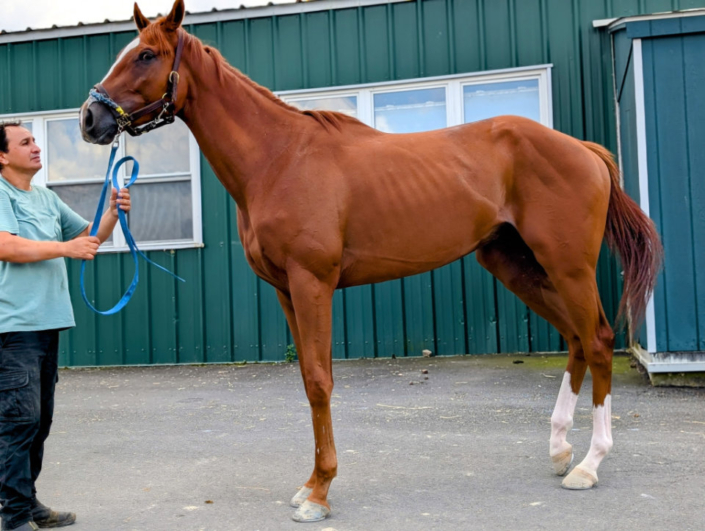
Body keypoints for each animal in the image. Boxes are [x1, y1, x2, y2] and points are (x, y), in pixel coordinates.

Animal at [79, 0, 663, 522]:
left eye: (147, 55)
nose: (90, 118)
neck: (278, 158)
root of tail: (584, 150)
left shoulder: (312, 282)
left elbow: (319, 381)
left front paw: (319, 494)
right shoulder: (286, 290)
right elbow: (310, 380)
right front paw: (310, 483)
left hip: (568, 267)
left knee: (598, 339)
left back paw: (588, 464)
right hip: (517, 265)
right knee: (576, 339)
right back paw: (561, 451)